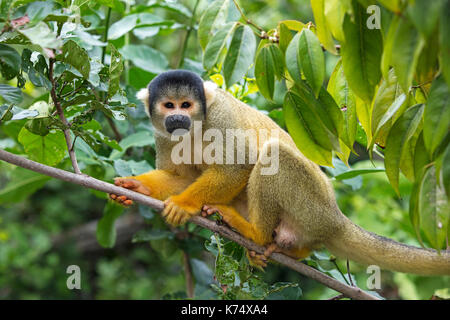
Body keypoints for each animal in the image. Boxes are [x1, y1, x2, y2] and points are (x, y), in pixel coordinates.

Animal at [110, 70, 450, 276]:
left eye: (187, 104)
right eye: (169, 106)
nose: (178, 118)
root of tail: (336, 218)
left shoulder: (220, 116)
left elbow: (239, 165)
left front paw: (183, 205)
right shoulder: (161, 133)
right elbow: (182, 178)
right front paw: (136, 187)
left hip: (312, 206)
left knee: (275, 155)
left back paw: (254, 233)